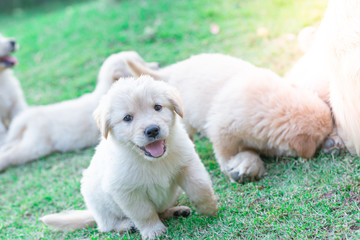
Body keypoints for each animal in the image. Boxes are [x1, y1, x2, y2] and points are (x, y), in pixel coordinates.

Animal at [0, 50, 158, 172]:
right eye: (138, 64)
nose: (157, 65)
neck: (106, 88)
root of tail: (30, 116)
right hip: (35, 146)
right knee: (12, 155)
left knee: (8, 147)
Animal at [40, 76, 218, 240]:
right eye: (127, 118)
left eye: (157, 107)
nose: (152, 130)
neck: (152, 160)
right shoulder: (127, 191)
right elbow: (144, 212)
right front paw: (153, 230)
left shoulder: (187, 163)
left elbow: (200, 187)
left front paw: (209, 208)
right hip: (98, 203)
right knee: (107, 226)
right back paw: (127, 225)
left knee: (161, 210)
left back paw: (176, 211)